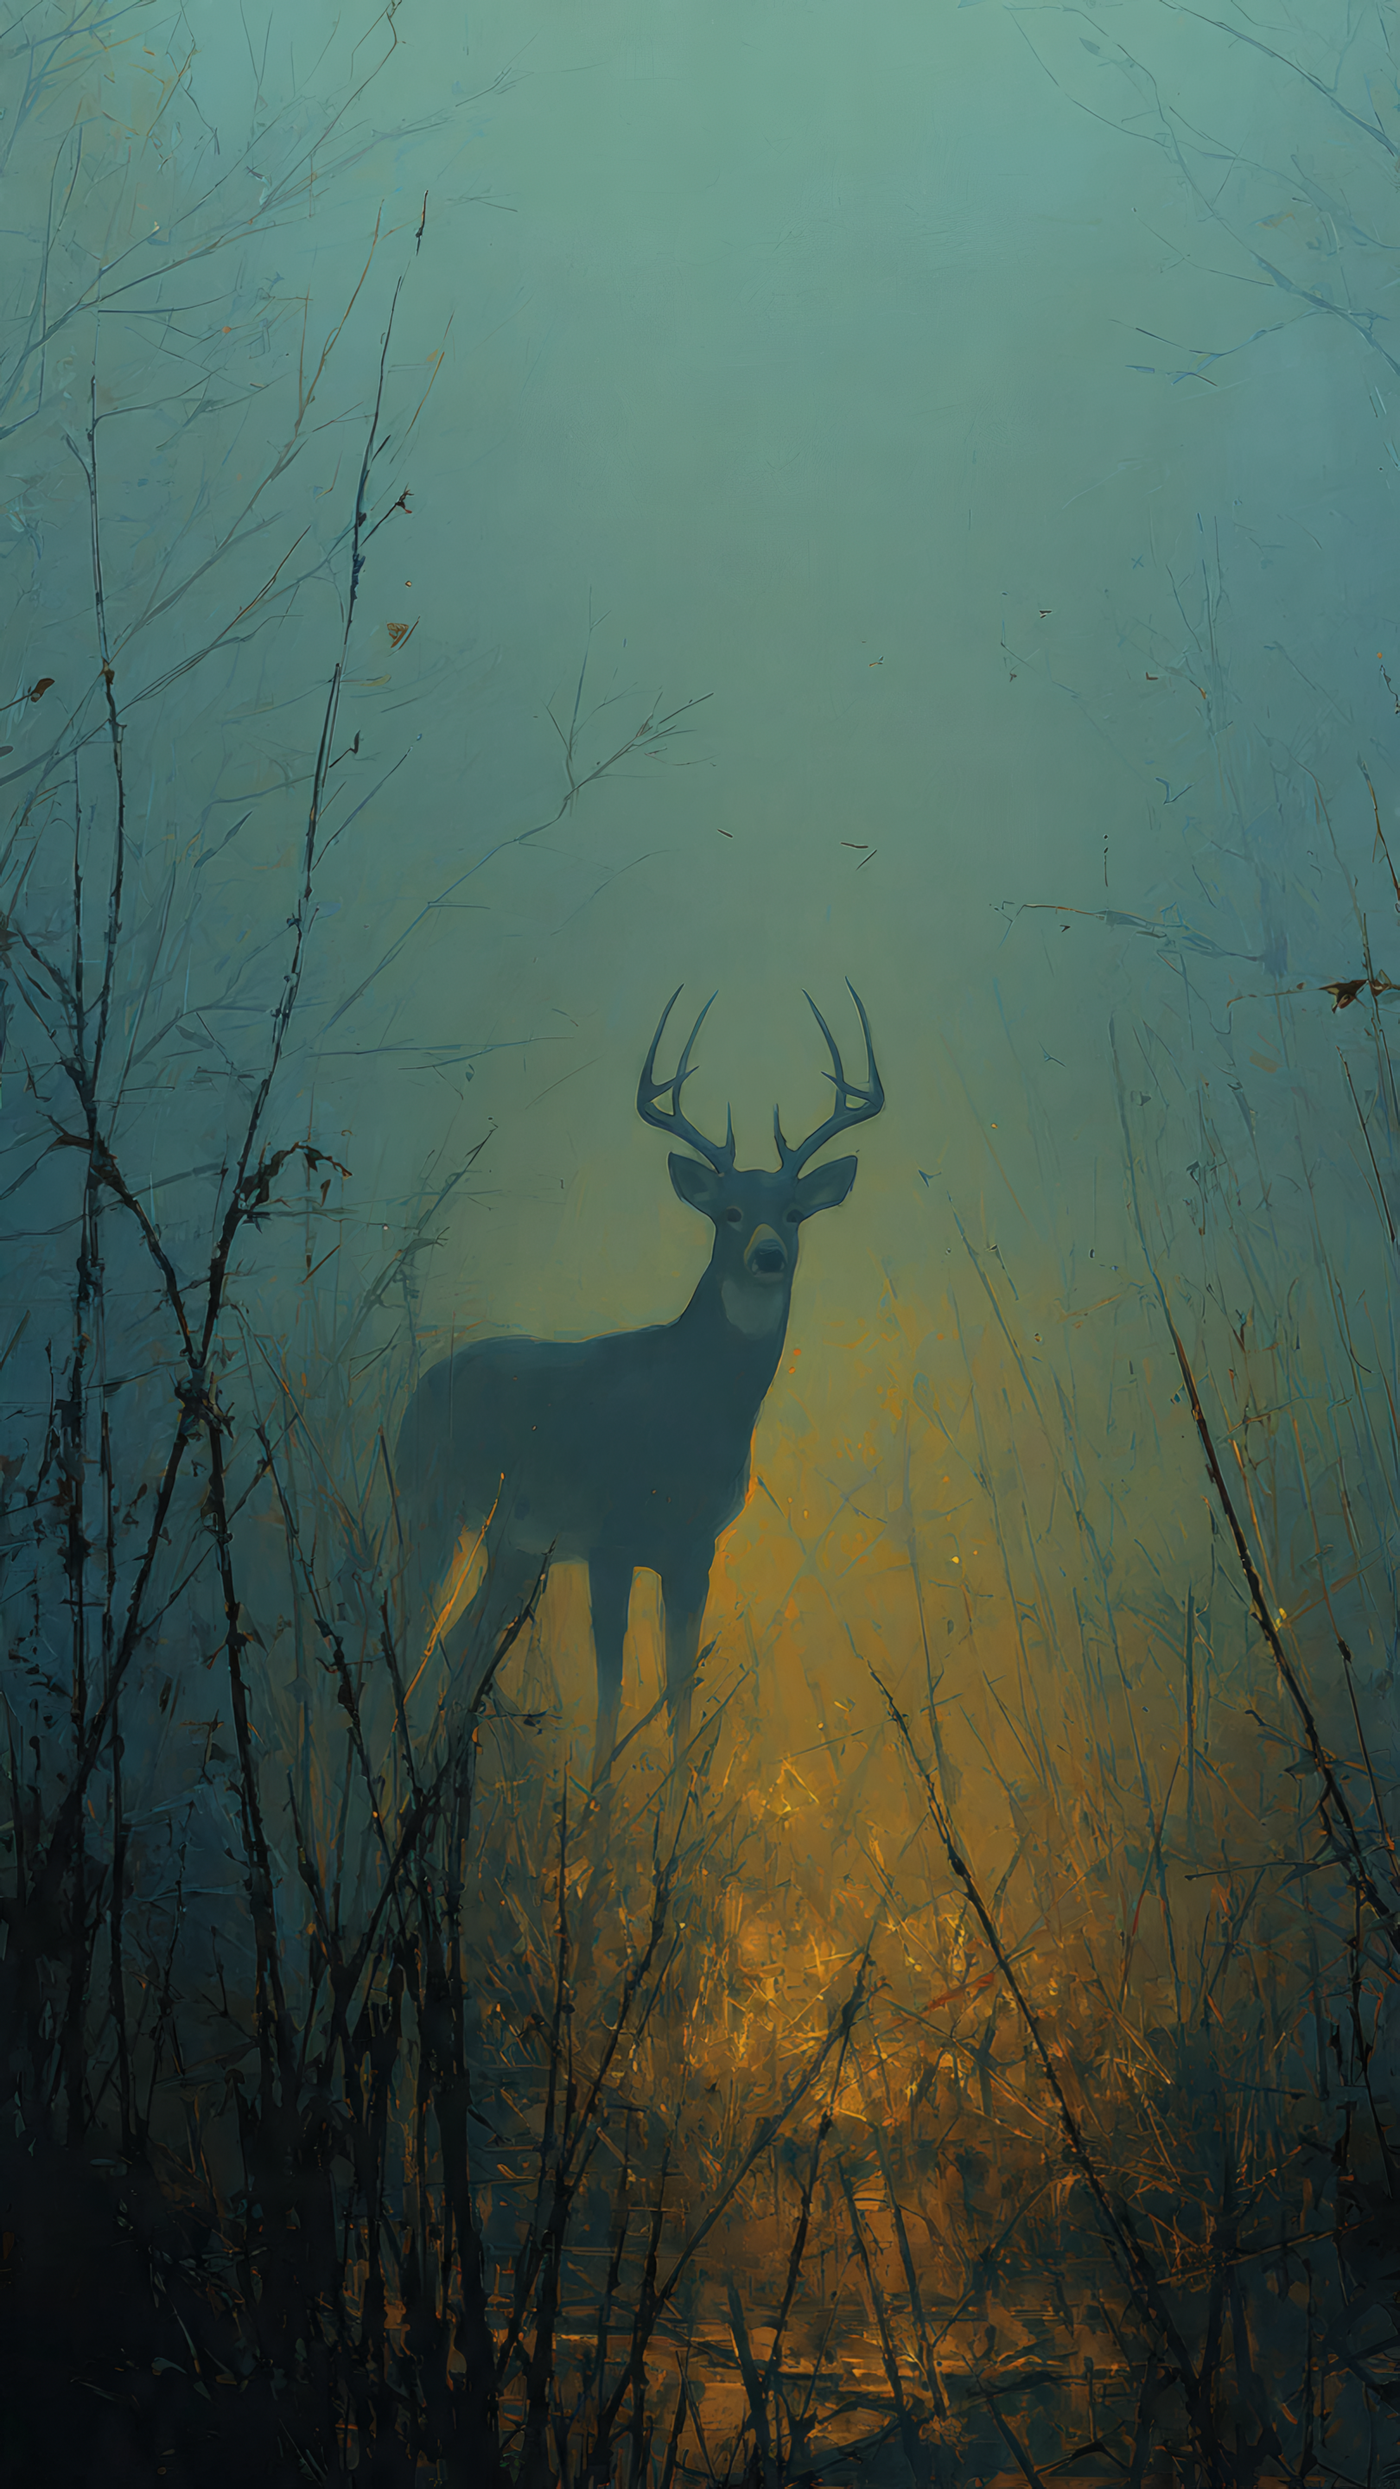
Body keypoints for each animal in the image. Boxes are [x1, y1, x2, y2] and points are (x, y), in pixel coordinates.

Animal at [395, 983, 884, 1783]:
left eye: (793, 1212)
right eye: (730, 1212)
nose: (770, 1255)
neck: (687, 1416)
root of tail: (426, 1380)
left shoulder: (696, 1549)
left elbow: (679, 1691)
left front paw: (678, 1805)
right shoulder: (610, 1537)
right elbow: (611, 1690)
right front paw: (596, 1804)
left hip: (513, 1547)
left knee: (454, 1653)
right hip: (429, 1503)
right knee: (408, 1634)